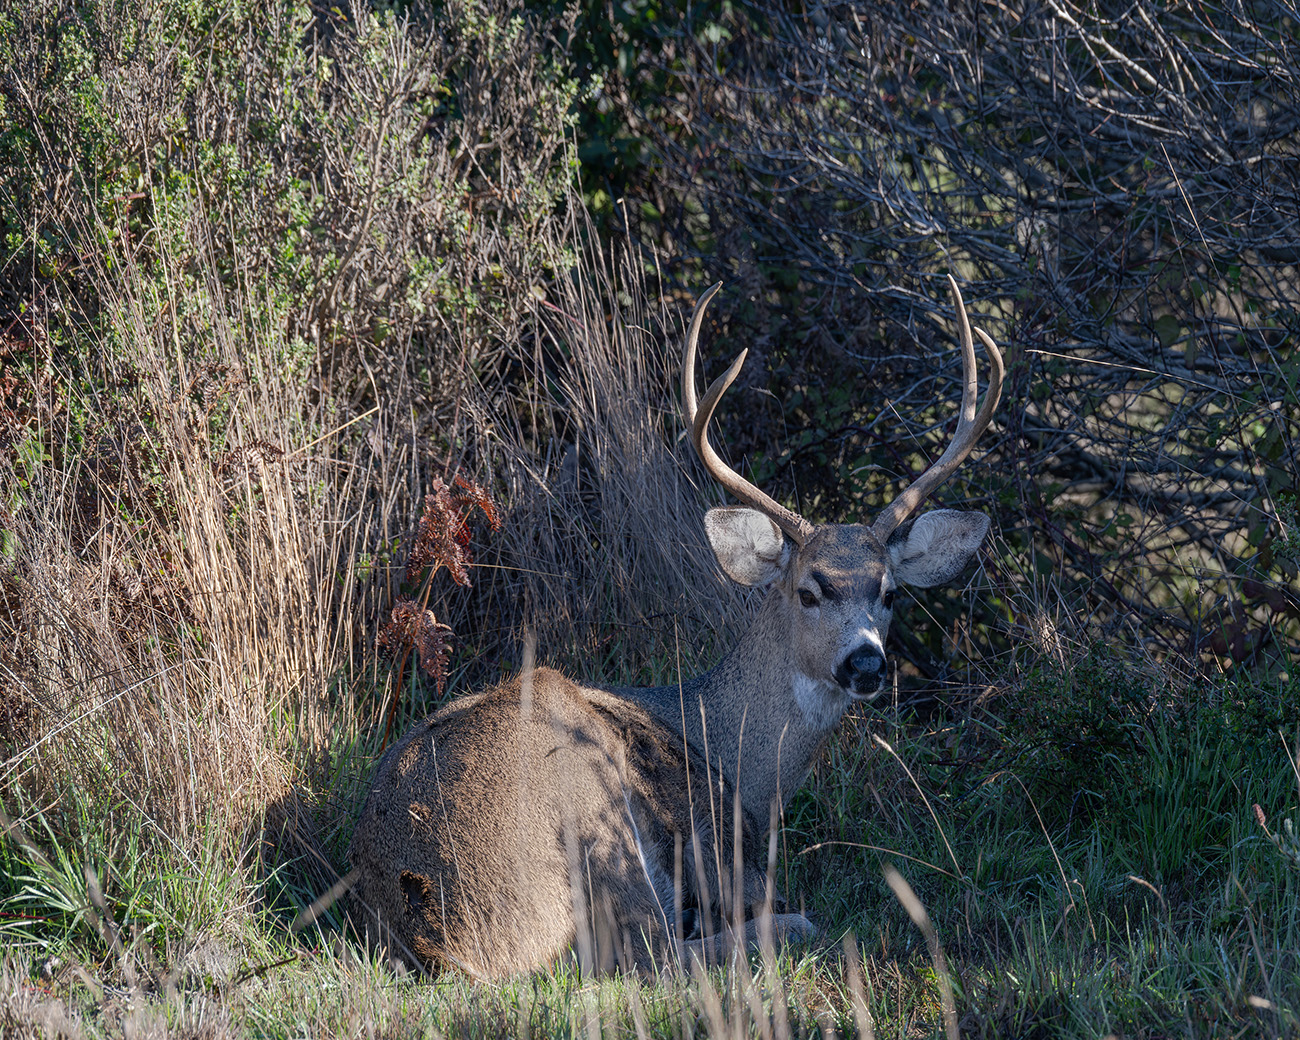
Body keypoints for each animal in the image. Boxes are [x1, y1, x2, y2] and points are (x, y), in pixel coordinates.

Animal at [348, 274, 1003, 977]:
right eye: (809, 591)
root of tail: (440, 936)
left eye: (889, 593)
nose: (866, 662)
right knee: (657, 950)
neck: (742, 762)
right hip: (586, 802)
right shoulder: (721, 845)